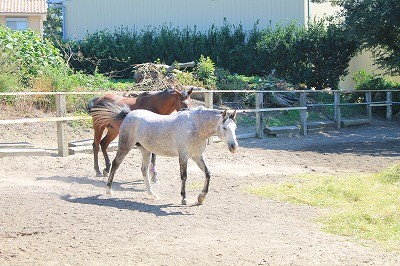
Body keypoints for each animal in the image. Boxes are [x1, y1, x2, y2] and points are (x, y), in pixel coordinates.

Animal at [90, 101, 238, 205]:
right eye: (224, 127)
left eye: (235, 127)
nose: (234, 146)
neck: (195, 126)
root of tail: (129, 114)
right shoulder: (183, 156)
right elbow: (184, 176)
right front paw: (184, 198)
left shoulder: (197, 156)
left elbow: (208, 173)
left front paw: (200, 198)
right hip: (125, 146)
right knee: (115, 164)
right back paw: (109, 190)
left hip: (145, 151)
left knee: (144, 170)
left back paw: (152, 194)